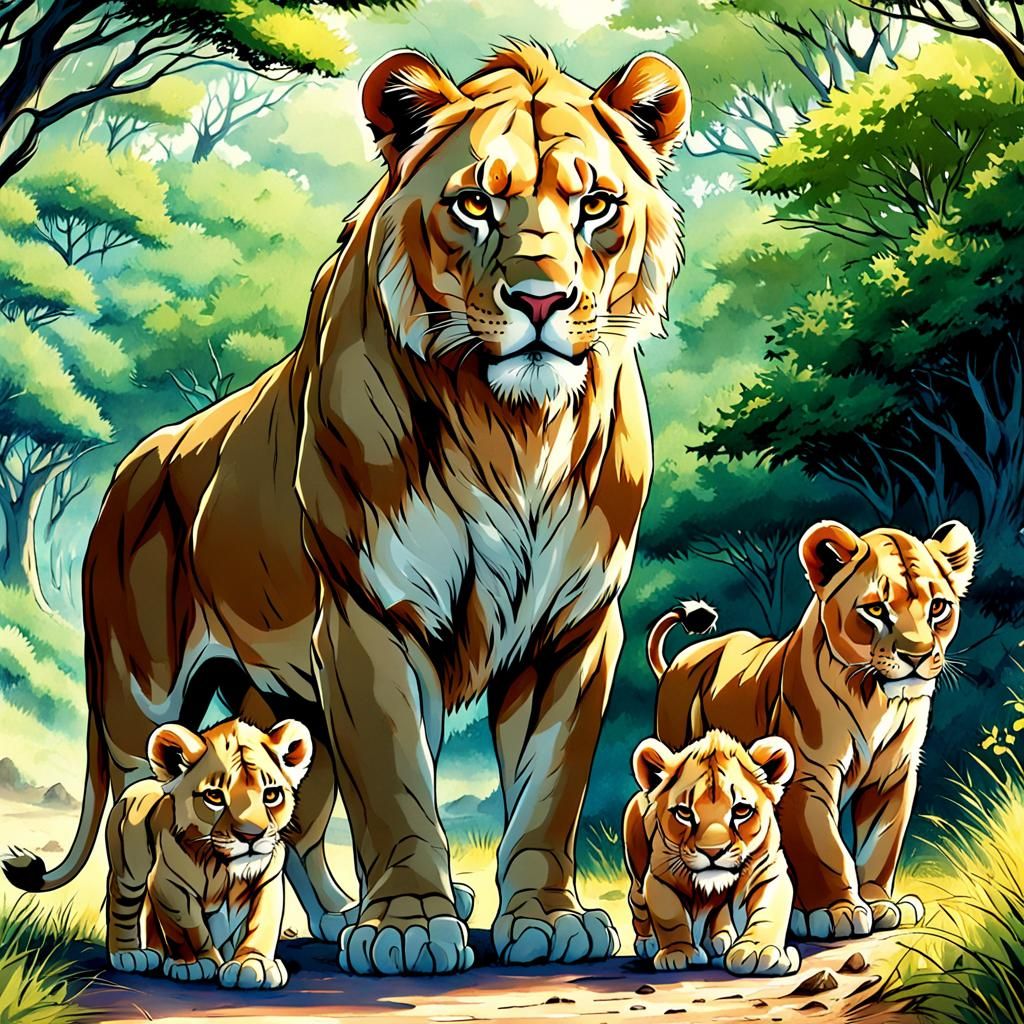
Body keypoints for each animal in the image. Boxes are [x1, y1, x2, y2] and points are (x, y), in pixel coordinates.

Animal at [1, 44, 691, 974]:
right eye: (475, 203)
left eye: (596, 205)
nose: (542, 302)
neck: (511, 426)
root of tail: (130, 469)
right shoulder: (369, 616)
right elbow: (397, 784)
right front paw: (408, 927)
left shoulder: (573, 628)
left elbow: (549, 788)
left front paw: (545, 919)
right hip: (141, 697)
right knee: (136, 810)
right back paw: (157, 946)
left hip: (286, 707)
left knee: (294, 818)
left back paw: (331, 916)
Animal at [624, 729, 800, 976]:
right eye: (684, 813)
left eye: (741, 810)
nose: (713, 851)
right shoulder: (659, 878)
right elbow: (671, 917)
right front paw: (678, 952)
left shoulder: (768, 870)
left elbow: (768, 912)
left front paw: (758, 951)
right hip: (636, 869)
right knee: (637, 901)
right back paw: (647, 942)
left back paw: (720, 939)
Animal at [650, 520, 977, 940]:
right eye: (876, 609)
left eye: (938, 607)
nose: (917, 657)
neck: (876, 699)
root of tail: (679, 660)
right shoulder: (808, 777)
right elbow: (825, 848)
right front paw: (837, 911)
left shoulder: (893, 777)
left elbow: (881, 845)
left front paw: (879, 904)